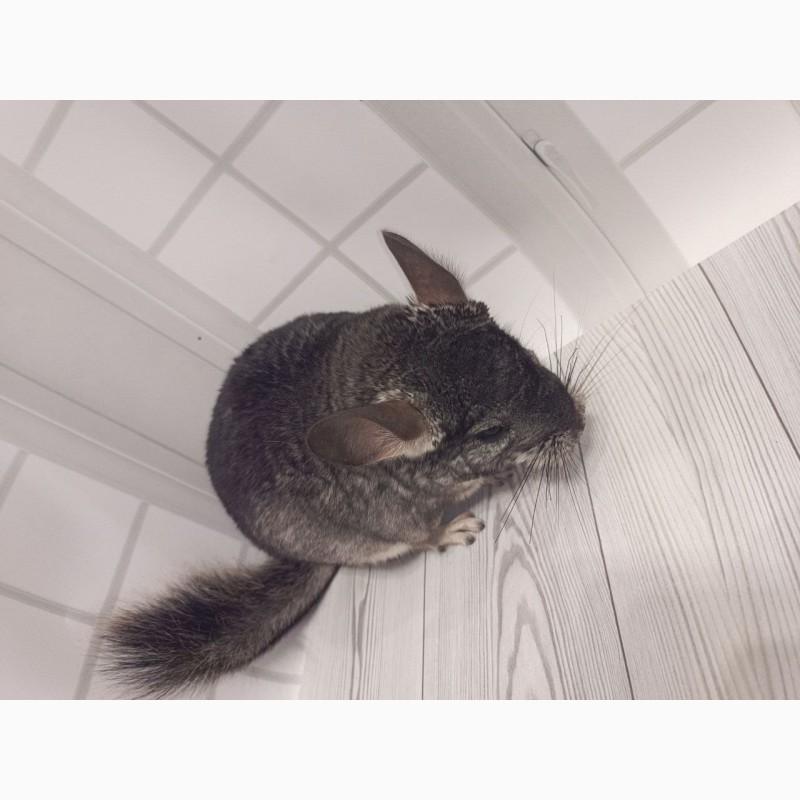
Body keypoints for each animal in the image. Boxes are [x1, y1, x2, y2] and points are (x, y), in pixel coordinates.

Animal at [100, 231, 585, 697]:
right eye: (490, 432)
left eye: (524, 352)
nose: (580, 422)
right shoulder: (401, 517)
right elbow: (429, 533)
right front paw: (470, 514)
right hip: (373, 542)